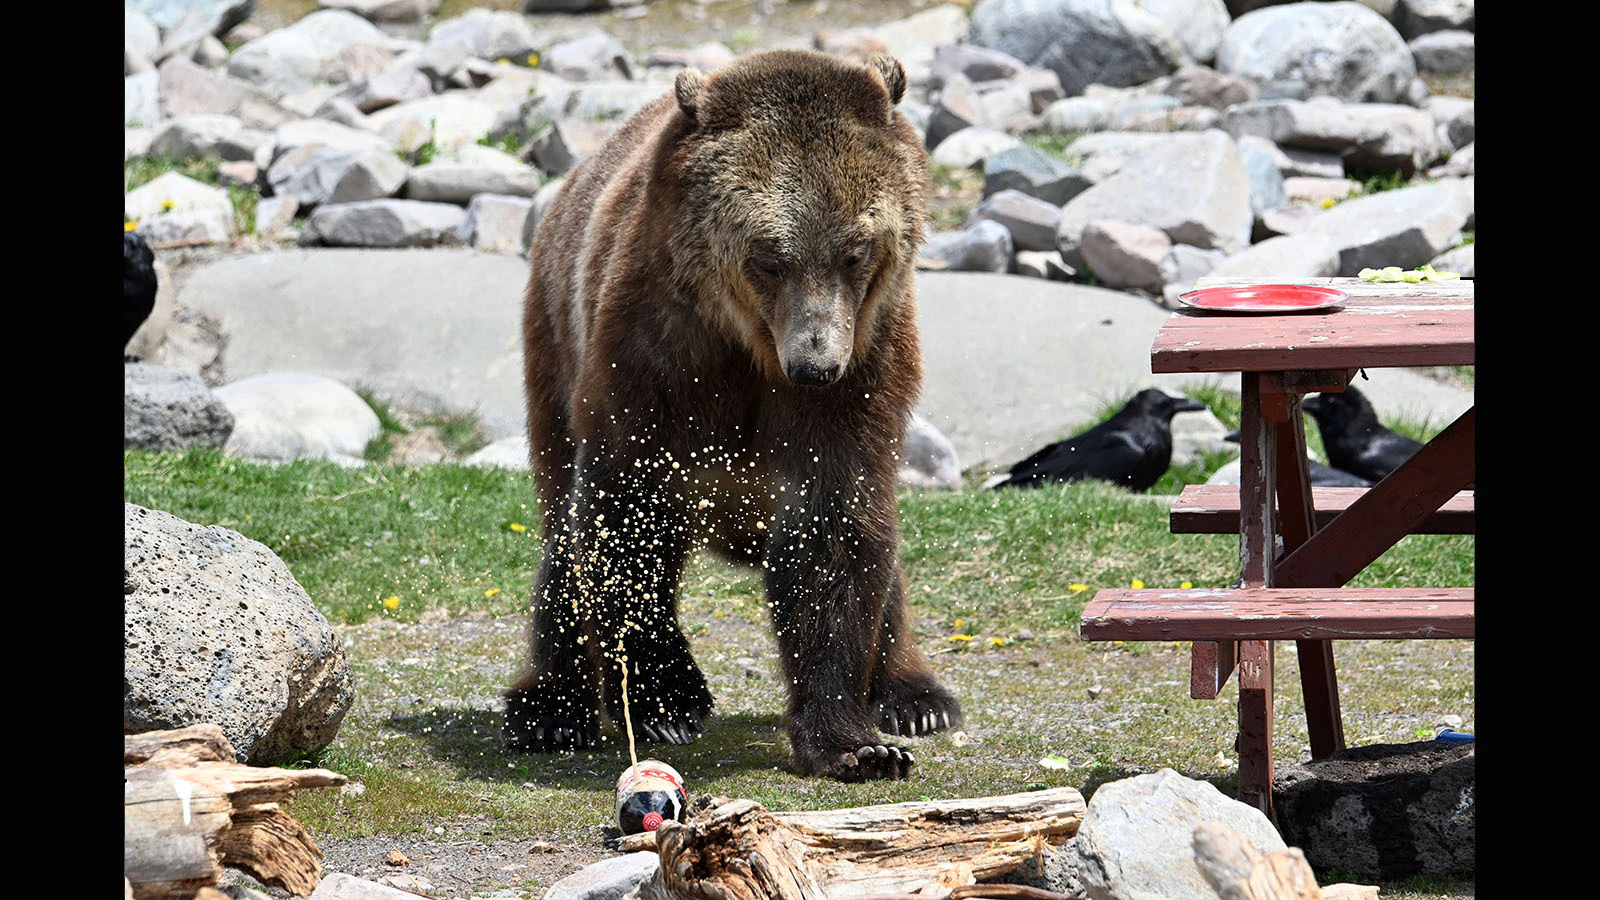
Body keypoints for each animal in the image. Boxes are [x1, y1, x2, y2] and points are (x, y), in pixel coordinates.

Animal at [503, 48, 962, 781]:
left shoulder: (864, 369)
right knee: (562, 536)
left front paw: (858, 744)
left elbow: (833, 532)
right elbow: (625, 520)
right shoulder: (656, 355)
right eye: (769, 257)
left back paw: (915, 697)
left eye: (854, 251)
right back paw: (550, 708)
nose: (814, 363)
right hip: (553, 344)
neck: (752, 348)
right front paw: (670, 698)